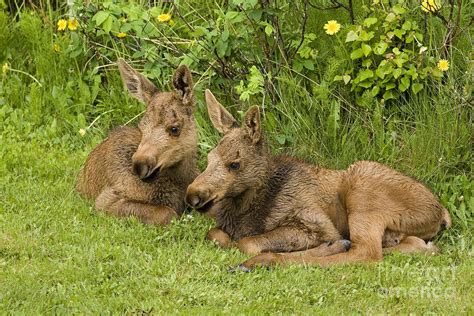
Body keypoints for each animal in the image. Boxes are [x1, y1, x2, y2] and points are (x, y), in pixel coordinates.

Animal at [185, 90, 452, 270]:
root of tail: (442, 213)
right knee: (417, 246)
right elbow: (215, 235)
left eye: (234, 163)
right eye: (208, 158)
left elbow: (246, 242)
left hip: (361, 187)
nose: (193, 196)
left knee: (366, 253)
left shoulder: (315, 223)